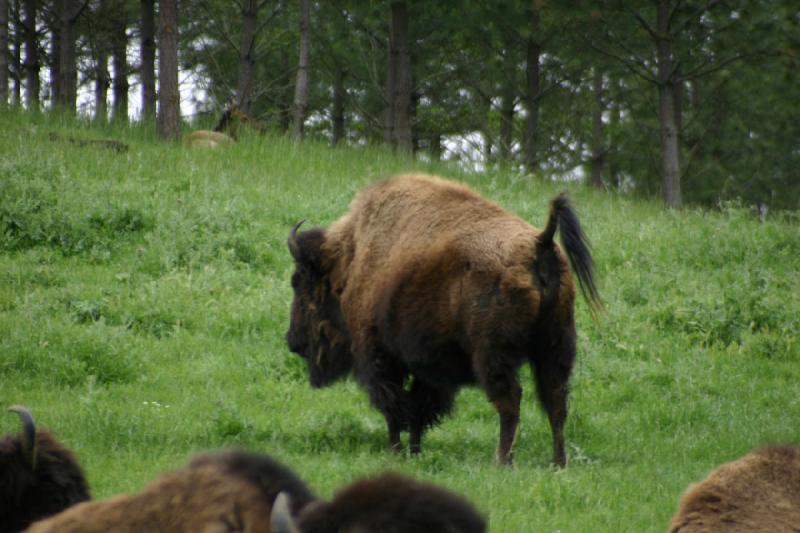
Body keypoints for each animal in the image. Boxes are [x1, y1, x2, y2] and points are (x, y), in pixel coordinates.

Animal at [288, 172, 600, 464]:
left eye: (299, 282)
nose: (293, 342)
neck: (352, 258)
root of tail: (540, 242)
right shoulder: (428, 366)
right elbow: (418, 408)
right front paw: (414, 451)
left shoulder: (380, 356)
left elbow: (394, 407)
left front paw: (396, 450)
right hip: (555, 346)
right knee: (556, 402)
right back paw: (558, 463)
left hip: (493, 354)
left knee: (511, 399)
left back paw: (503, 461)